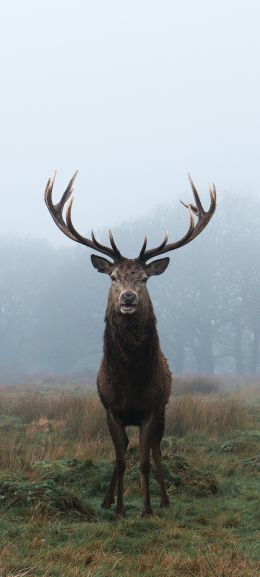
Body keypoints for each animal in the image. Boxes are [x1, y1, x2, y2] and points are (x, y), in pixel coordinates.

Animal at [45, 172, 217, 516]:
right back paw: (107, 499)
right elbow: (121, 460)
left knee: (156, 450)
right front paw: (120, 509)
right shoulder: (112, 410)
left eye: (144, 279)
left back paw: (164, 499)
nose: (128, 298)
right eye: (113, 277)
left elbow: (144, 462)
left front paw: (147, 508)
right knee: (121, 453)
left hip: (164, 410)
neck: (130, 382)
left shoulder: (151, 409)